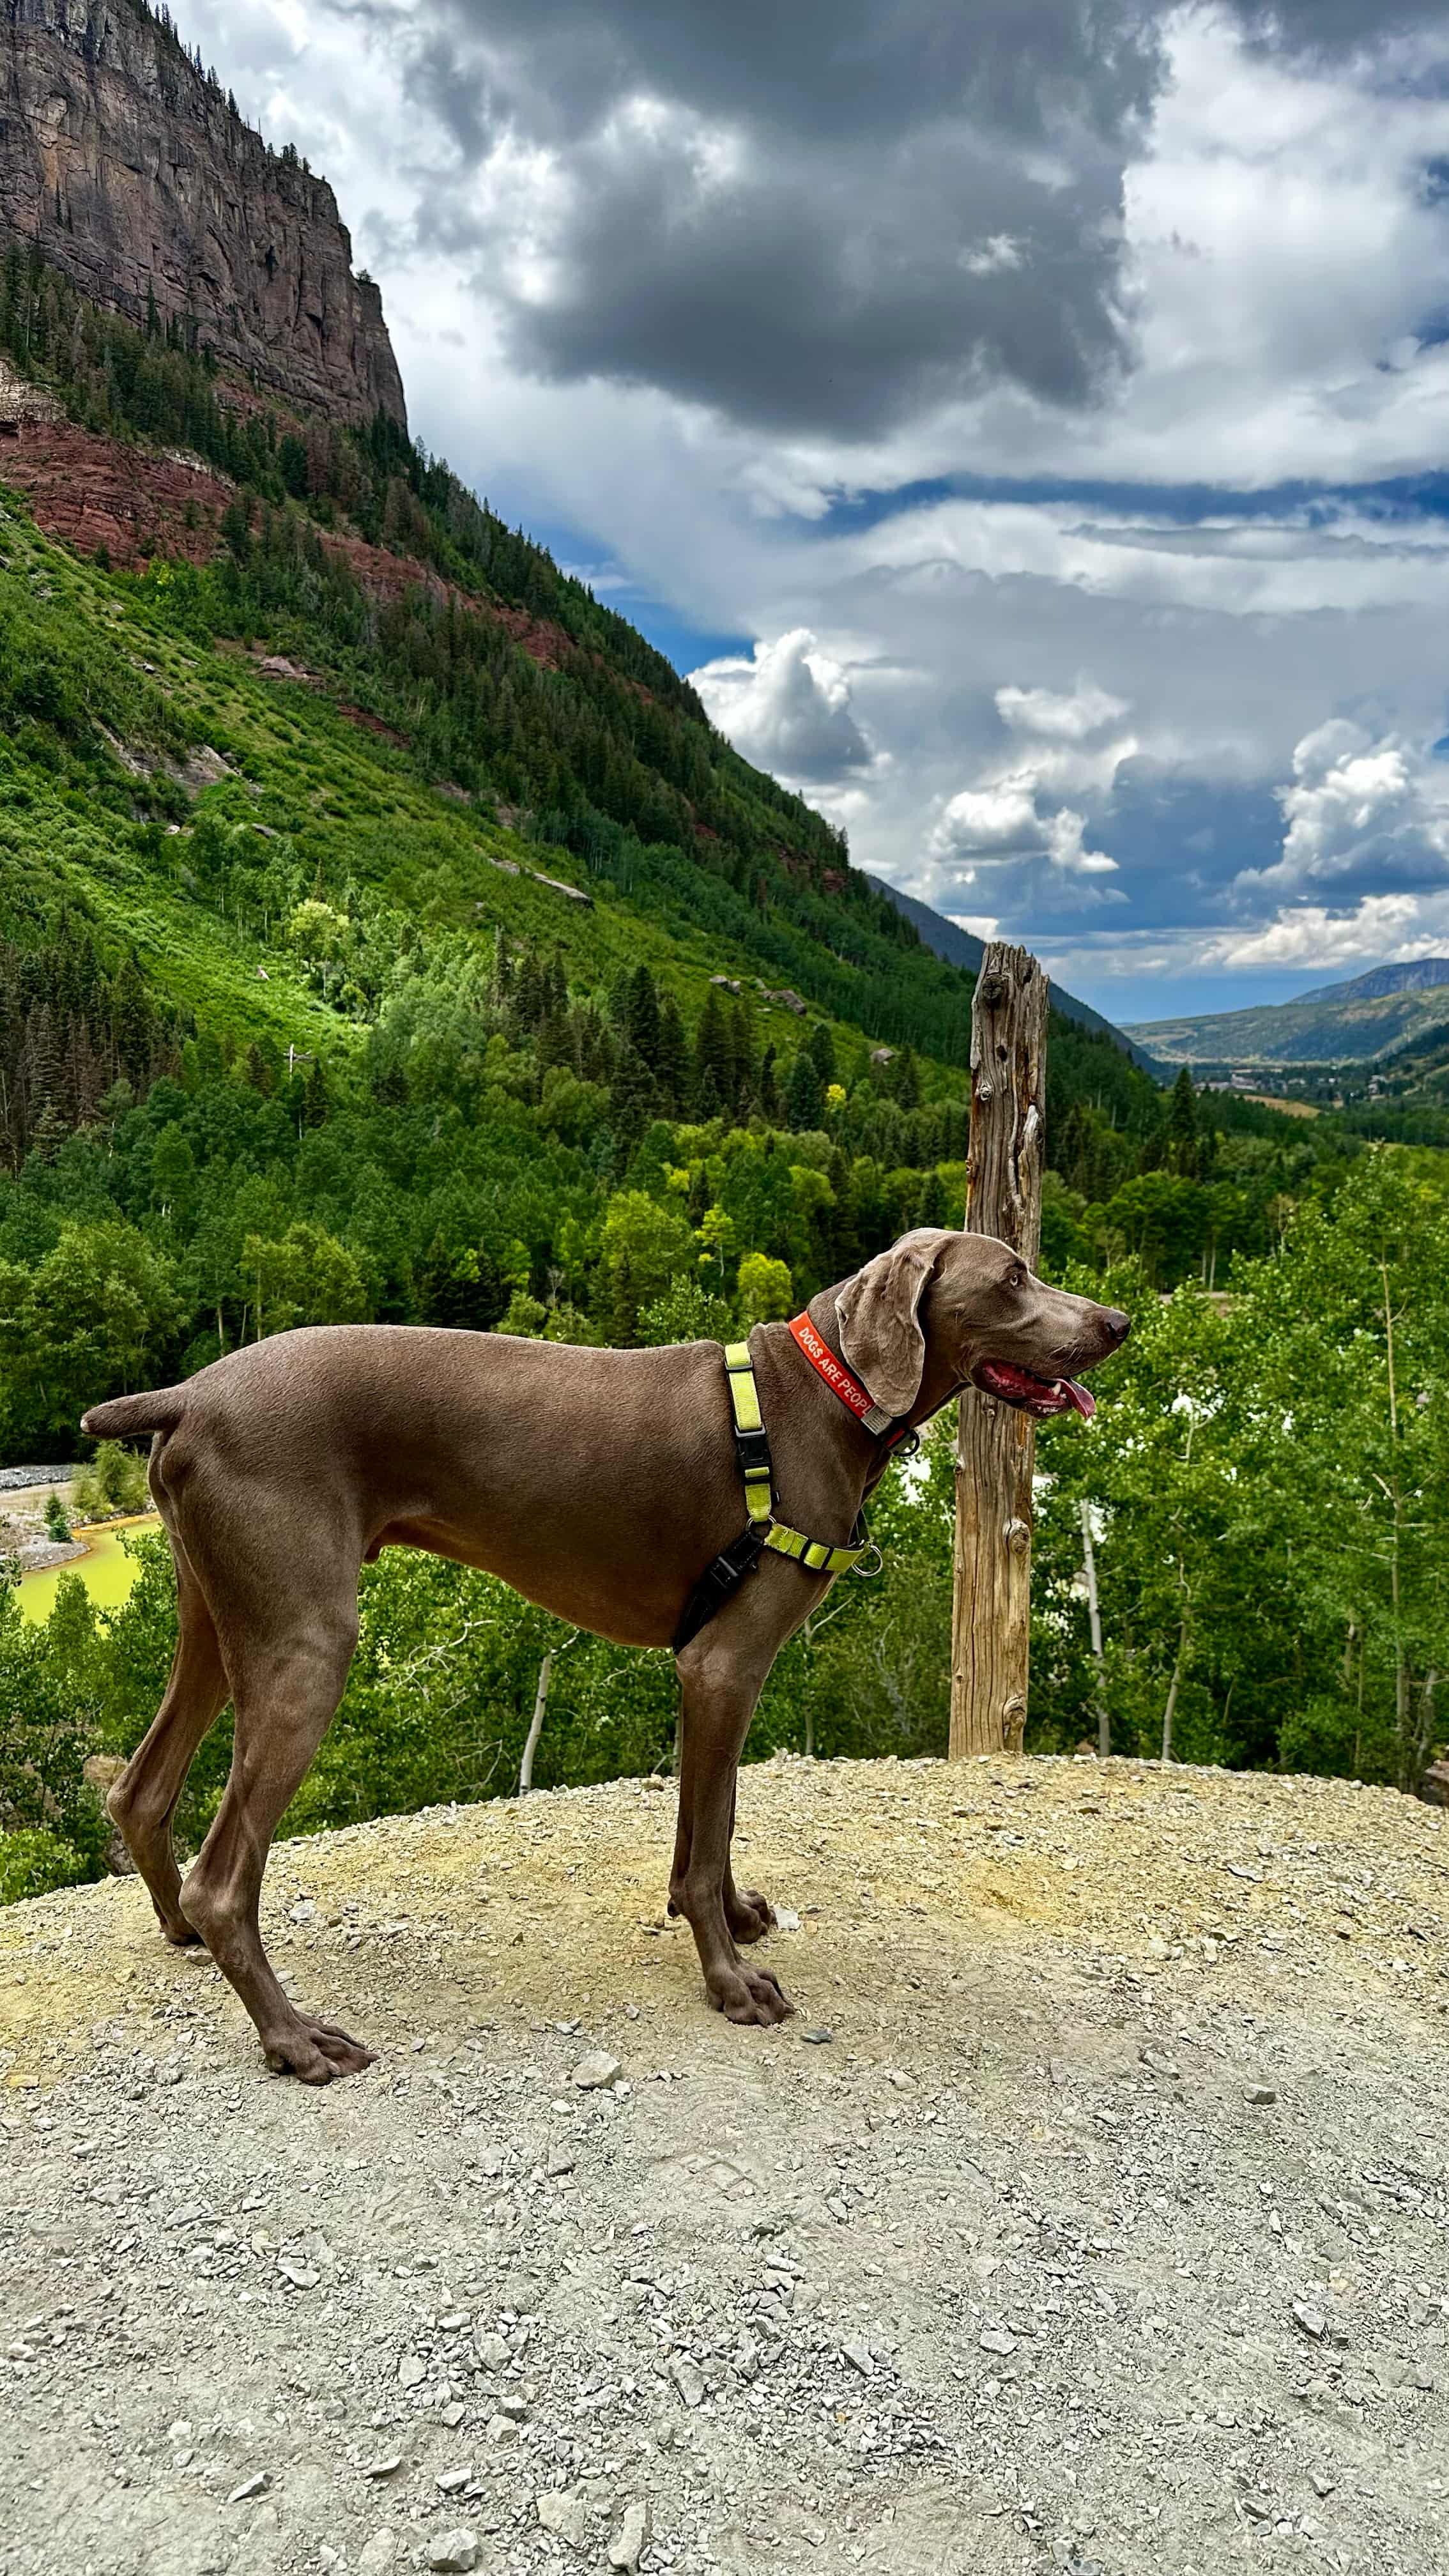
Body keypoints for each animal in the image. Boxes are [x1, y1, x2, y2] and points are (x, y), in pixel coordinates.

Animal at [84, 1216, 1129, 2081]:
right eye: (1012, 1277)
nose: (1118, 1321)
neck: (821, 1397)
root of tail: (188, 1395)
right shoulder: (725, 1663)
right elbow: (705, 1846)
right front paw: (731, 1984)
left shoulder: (711, 1669)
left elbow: (714, 1822)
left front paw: (736, 1922)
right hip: (307, 1642)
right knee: (228, 1880)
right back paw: (295, 2040)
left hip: (217, 1618)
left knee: (140, 1790)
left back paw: (177, 1928)